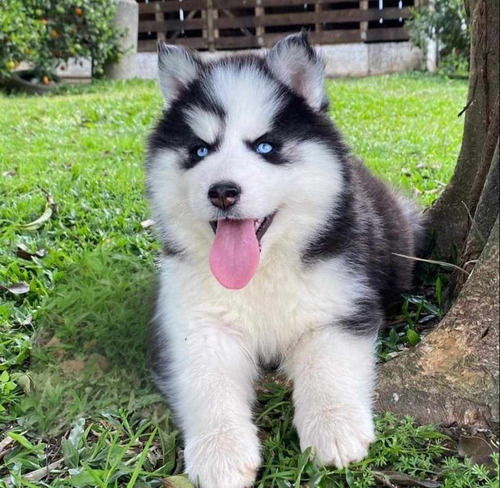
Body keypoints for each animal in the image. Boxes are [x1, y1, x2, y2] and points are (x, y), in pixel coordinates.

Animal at [146, 32, 422, 486]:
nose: (222, 192)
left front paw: (334, 427)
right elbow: (207, 381)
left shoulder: (338, 306)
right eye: (200, 150)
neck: (261, 273)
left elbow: (326, 364)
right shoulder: (197, 324)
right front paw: (220, 452)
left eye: (265, 146)